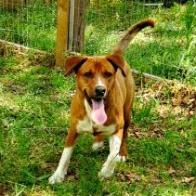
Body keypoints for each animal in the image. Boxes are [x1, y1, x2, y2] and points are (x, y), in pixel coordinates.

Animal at [48, 18, 154, 184]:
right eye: (88, 74)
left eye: (108, 74)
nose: (100, 90)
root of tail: (115, 55)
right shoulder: (73, 129)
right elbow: (65, 155)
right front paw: (58, 175)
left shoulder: (117, 127)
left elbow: (113, 153)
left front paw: (106, 171)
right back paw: (98, 141)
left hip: (127, 112)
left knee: (125, 135)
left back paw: (122, 153)